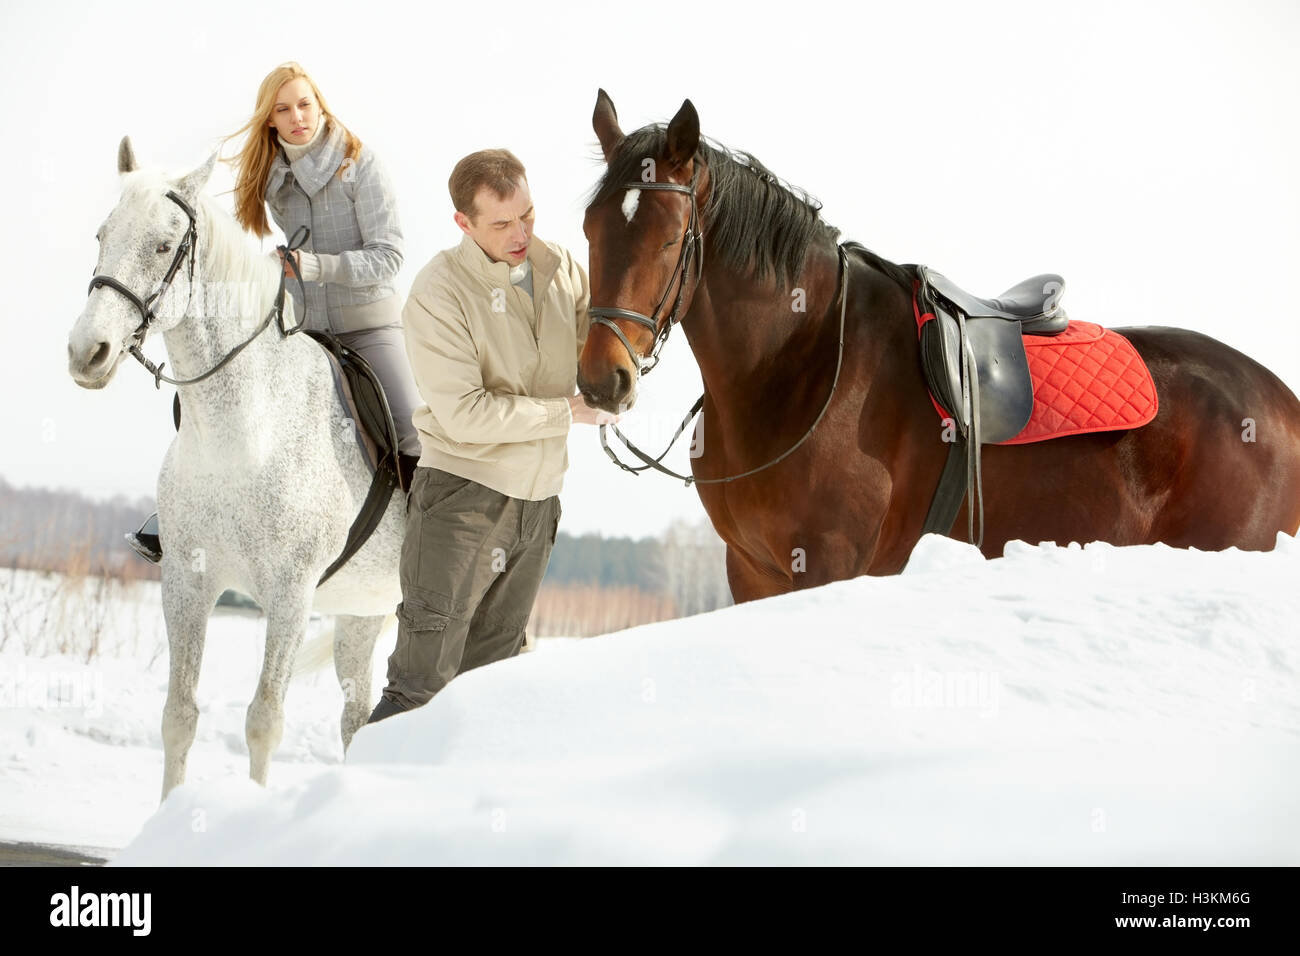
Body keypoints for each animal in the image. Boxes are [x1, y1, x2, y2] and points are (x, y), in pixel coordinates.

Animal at [67, 138, 404, 798]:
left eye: (163, 245)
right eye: (102, 234)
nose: (85, 352)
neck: (244, 431)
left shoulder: (291, 595)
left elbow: (263, 721)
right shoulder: (187, 583)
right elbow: (178, 715)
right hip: (364, 609)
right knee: (358, 714)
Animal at [577, 91, 1300, 602]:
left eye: (670, 236)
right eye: (589, 227)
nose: (601, 379)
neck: (805, 364)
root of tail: (1281, 404)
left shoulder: (831, 564)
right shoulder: (752, 570)